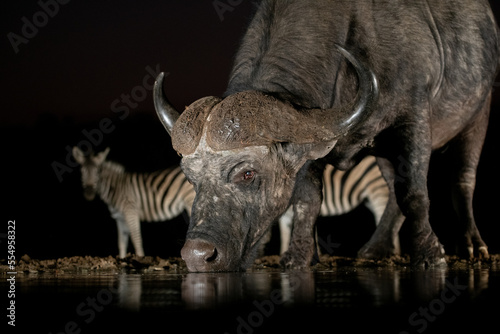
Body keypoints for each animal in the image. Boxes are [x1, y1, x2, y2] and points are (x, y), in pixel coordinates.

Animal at [154, 0, 498, 270]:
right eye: (190, 178)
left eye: (248, 173)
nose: (197, 256)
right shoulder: (310, 141)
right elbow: (308, 201)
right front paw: (300, 256)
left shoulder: (414, 119)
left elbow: (414, 193)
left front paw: (430, 253)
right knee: (391, 186)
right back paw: (376, 249)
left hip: (479, 114)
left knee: (462, 179)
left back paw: (473, 245)